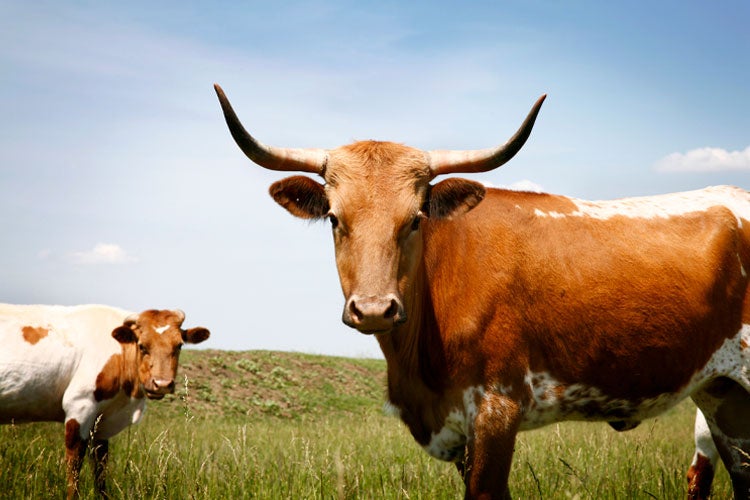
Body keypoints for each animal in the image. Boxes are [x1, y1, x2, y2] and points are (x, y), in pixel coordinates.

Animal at [0, 304, 210, 499]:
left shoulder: (101, 422)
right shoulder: (79, 405)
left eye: (179, 345)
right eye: (142, 345)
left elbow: (100, 469)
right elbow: (74, 466)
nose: (162, 384)